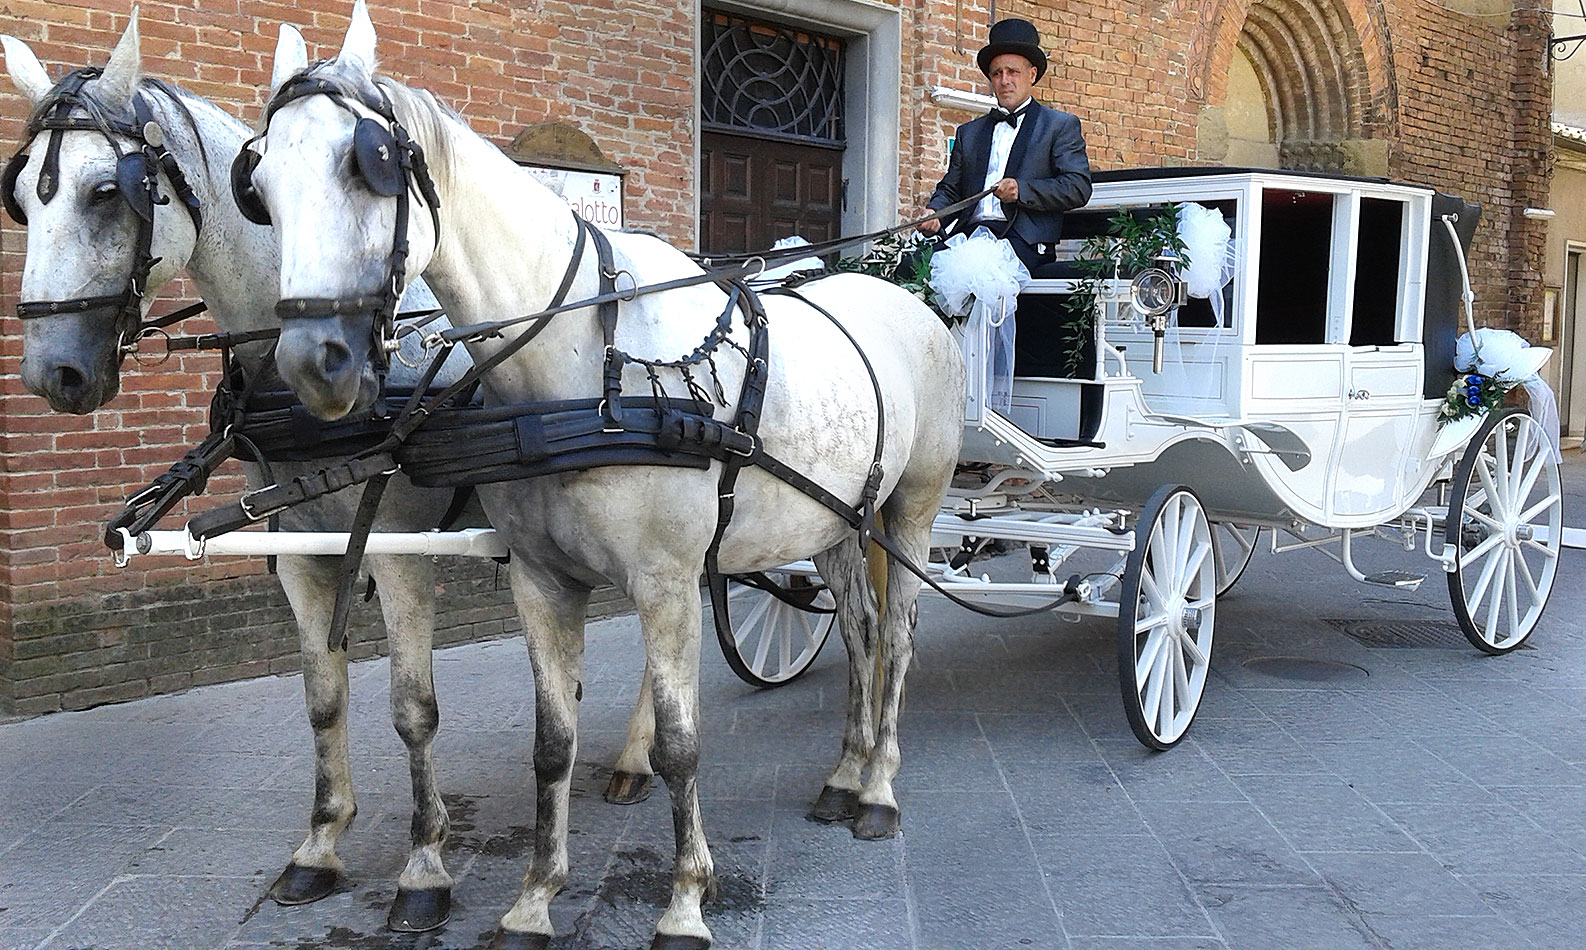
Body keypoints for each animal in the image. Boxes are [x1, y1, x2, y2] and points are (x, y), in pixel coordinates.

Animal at [1, 14, 643, 932]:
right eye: (22, 197)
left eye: (104, 193)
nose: (51, 374)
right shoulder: (300, 554)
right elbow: (322, 698)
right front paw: (321, 843)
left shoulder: (401, 549)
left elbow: (412, 710)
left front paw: (424, 867)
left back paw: (636, 758)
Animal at [247, 3, 964, 945]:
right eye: (259, 184)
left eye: (367, 166)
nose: (312, 363)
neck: (584, 362)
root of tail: (912, 303)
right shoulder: (542, 580)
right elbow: (553, 744)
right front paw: (534, 898)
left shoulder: (663, 579)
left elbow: (681, 743)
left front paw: (686, 900)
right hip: (837, 516)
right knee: (860, 631)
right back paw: (845, 776)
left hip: (911, 508)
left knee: (902, 639)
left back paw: (878, 787)